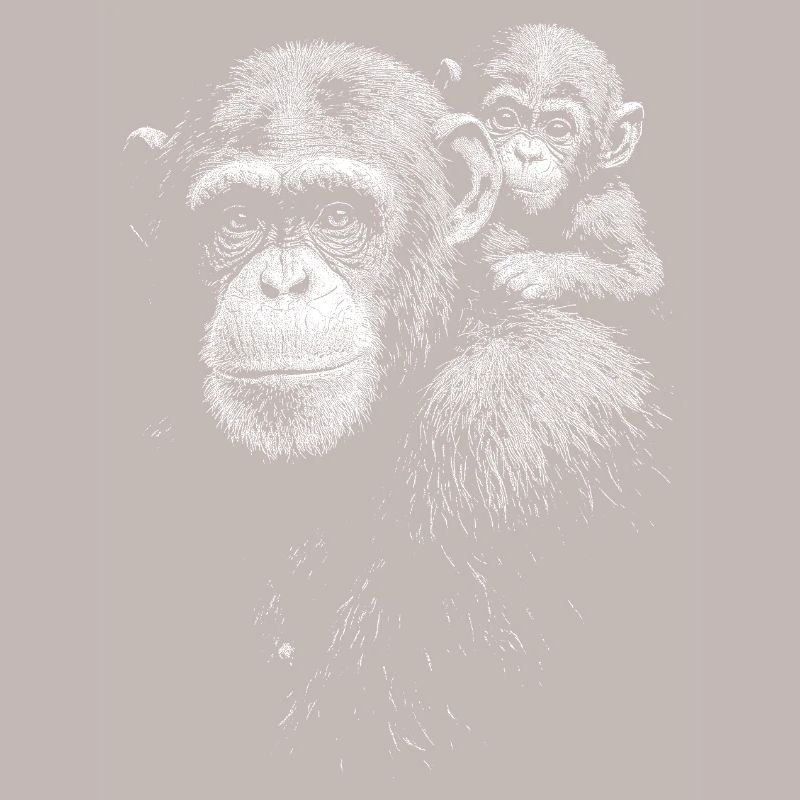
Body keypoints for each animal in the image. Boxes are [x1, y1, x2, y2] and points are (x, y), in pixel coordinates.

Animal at [436, 24, 663, 308]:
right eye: (505, 117)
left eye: (557, 129)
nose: (528, 153)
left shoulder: (607, 210)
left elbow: (641, 275)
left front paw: (542, 271)